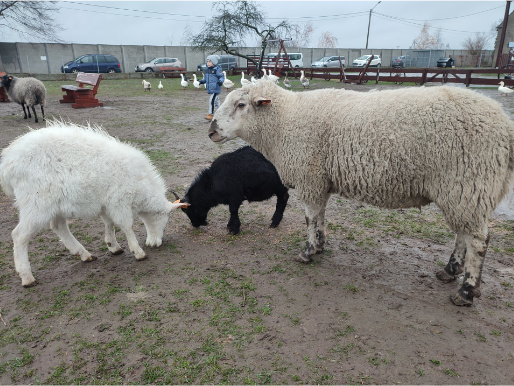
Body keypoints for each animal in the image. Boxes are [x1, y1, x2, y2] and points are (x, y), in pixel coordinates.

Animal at [0, 120, 183, 286]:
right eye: (165, 220)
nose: (156, 243)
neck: (141, 183)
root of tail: (7, 165)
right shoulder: (119, 200)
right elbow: (126, 225)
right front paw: (138, 251)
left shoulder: (107, 203)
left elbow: (109, 223)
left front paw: (113, 246)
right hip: (36, 202)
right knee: (19, 235)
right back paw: (27, 277)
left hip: (56, 204)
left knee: (58, 227)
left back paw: (84, 254)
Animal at [207, 80, 512, 306]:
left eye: (241, 105)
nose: (211, 130)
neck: (284, 123)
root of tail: (504, 123)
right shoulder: (321, 179)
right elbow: (321, 215)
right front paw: (320, 244)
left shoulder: (310, 177)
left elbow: (309, 218)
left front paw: (307, 251)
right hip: (463, 191)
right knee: (464, 233)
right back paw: (450, 271)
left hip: (470, 181)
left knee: (478, 241)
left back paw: (466, 291)